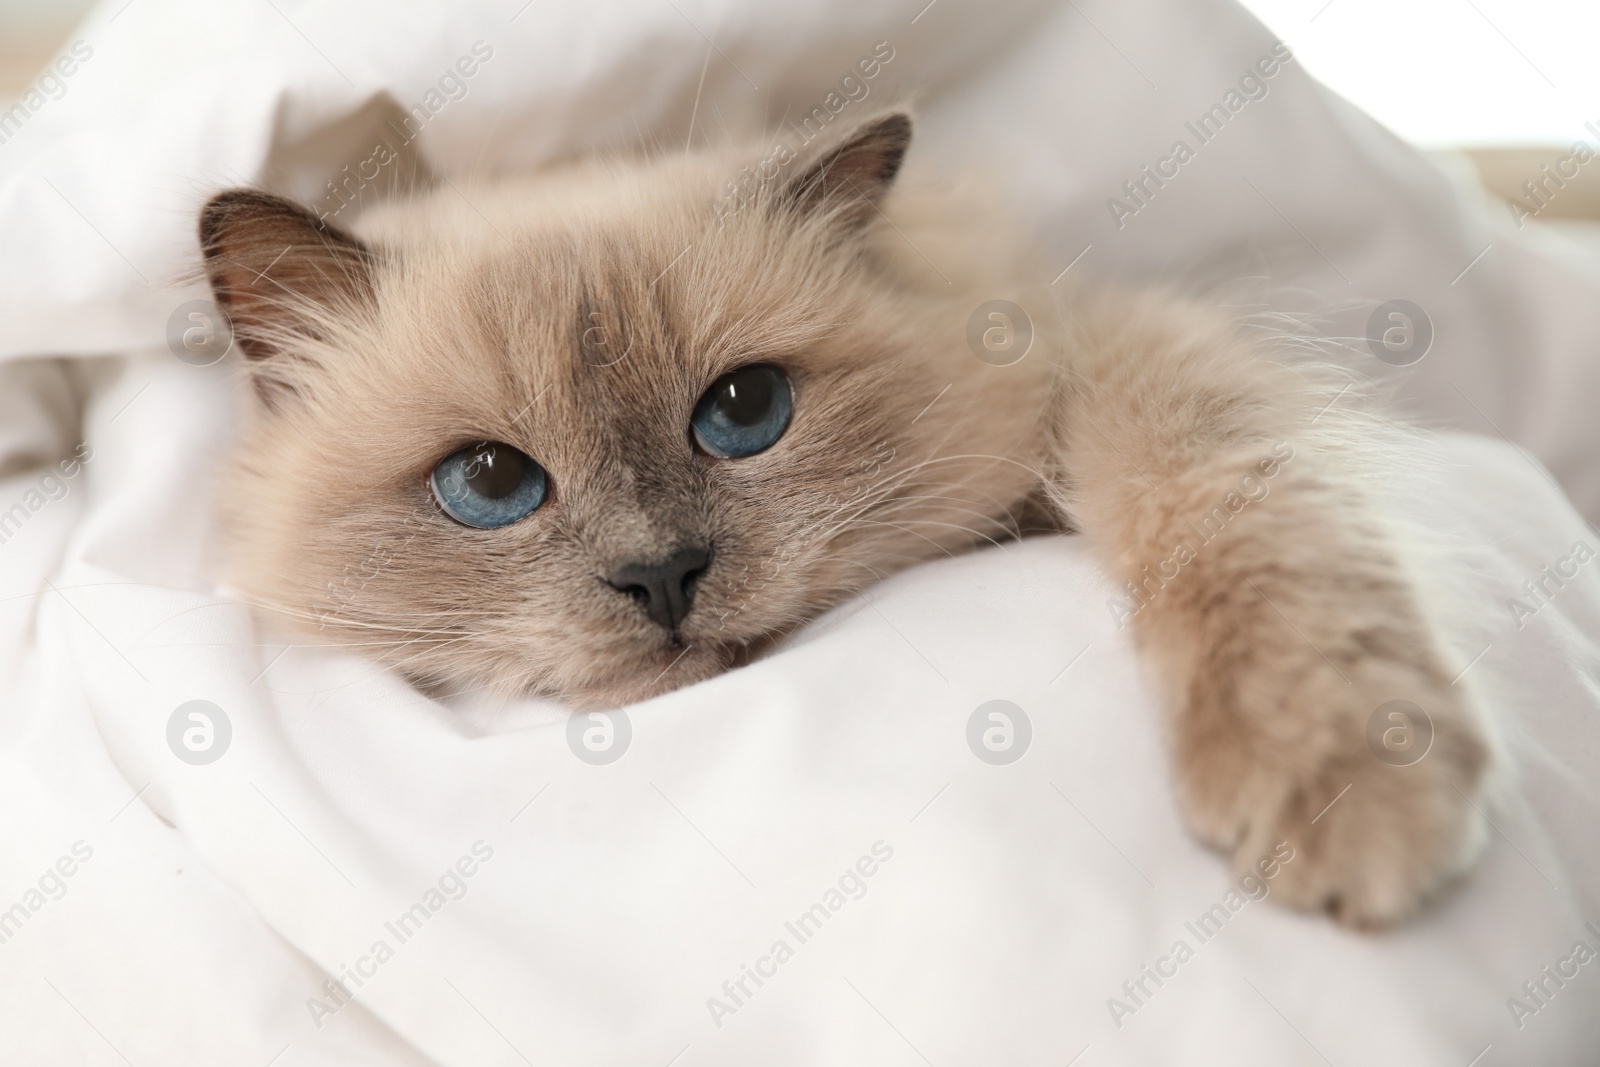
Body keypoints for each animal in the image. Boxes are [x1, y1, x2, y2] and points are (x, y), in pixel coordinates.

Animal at [196, 106, 1484, 927]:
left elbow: (1246, 528)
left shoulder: (1109, 352)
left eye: (744, 411)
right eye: (489, 483)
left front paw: (1350, 784)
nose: (662, 576)